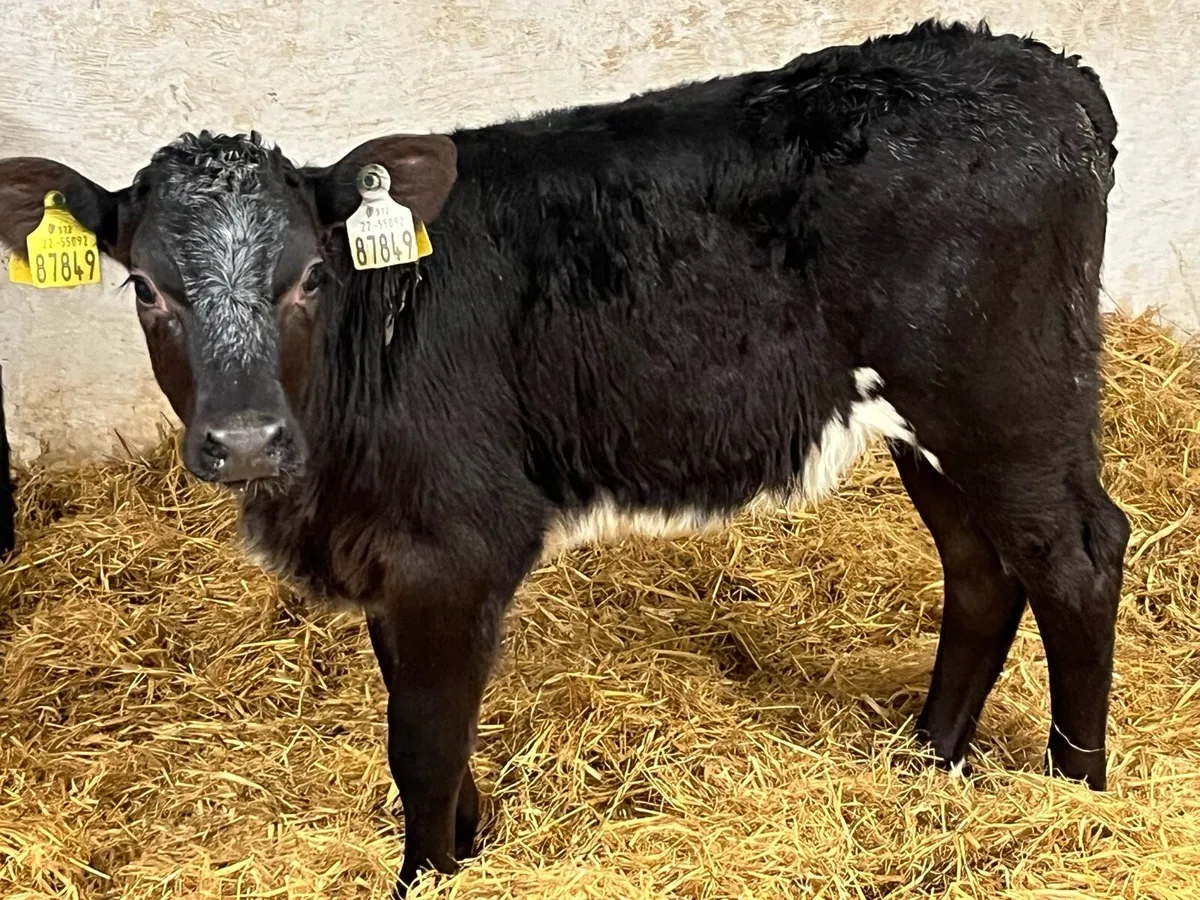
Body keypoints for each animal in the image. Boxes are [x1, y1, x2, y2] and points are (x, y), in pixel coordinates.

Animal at [0, 20, 1128, 895]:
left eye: (311, 275)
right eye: (147, 288)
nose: (241, 441)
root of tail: (1047, 71)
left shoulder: (460, 545)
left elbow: (423, 740)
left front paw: (429, 875)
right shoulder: (394, 556)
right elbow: (429, 720)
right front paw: (468, 844)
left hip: (1010, 395)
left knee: (1078, 557)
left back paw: (1077, 798)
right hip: (933, 424)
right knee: (983, 569)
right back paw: (927, 760)